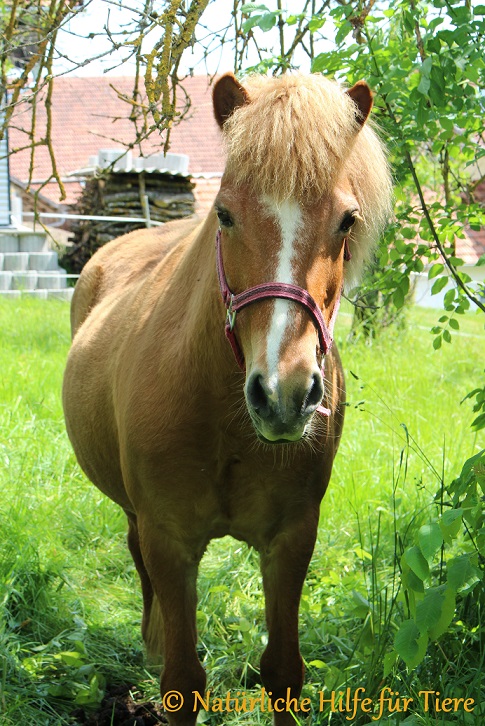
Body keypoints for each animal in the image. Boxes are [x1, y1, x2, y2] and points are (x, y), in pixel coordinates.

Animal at [62, 72, 391, 726]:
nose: (284, 394)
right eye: (225, 215)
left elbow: (283, 672)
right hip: (138, 517)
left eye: (347, 220)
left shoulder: (292, 537)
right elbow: (183, 679)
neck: (222, 418)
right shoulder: (169, 538)